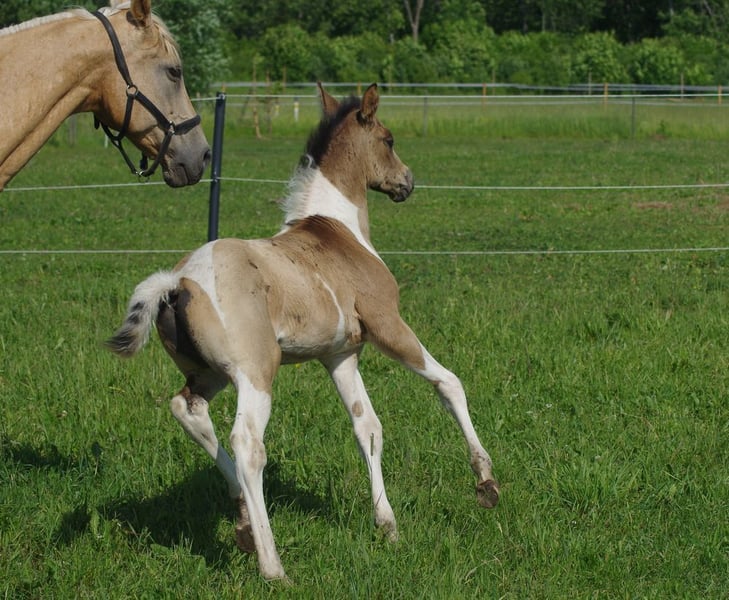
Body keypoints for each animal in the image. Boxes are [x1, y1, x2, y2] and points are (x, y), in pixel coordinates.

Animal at [106, 83, 499, 581]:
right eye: (388, 139)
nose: (407, 181)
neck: (340, 231)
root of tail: (178, 283)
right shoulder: (388, 326)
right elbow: (449, 383)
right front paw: (486, 482)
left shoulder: (340, 355)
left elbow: (367, 427)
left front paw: (387, 526)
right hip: (256, 373)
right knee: (247, 444)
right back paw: (273, 564)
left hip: (209, 374)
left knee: (187, 409)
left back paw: (243, 524)